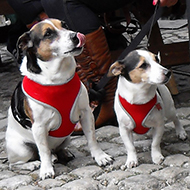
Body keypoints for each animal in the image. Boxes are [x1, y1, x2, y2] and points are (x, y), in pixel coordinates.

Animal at [5, 18, 113, 180]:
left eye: (65, 25)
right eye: (48, 34)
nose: (75, 36)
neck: (58, 80)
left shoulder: (86, 114)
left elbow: (92, 138)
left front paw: (100, 157)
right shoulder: (39, 127)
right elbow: (43, 151)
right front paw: (46, 169)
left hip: (66, 137)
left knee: (54, 150)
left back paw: (61, 154)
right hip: (22, 149)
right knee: (16, 164)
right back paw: (33, 164)